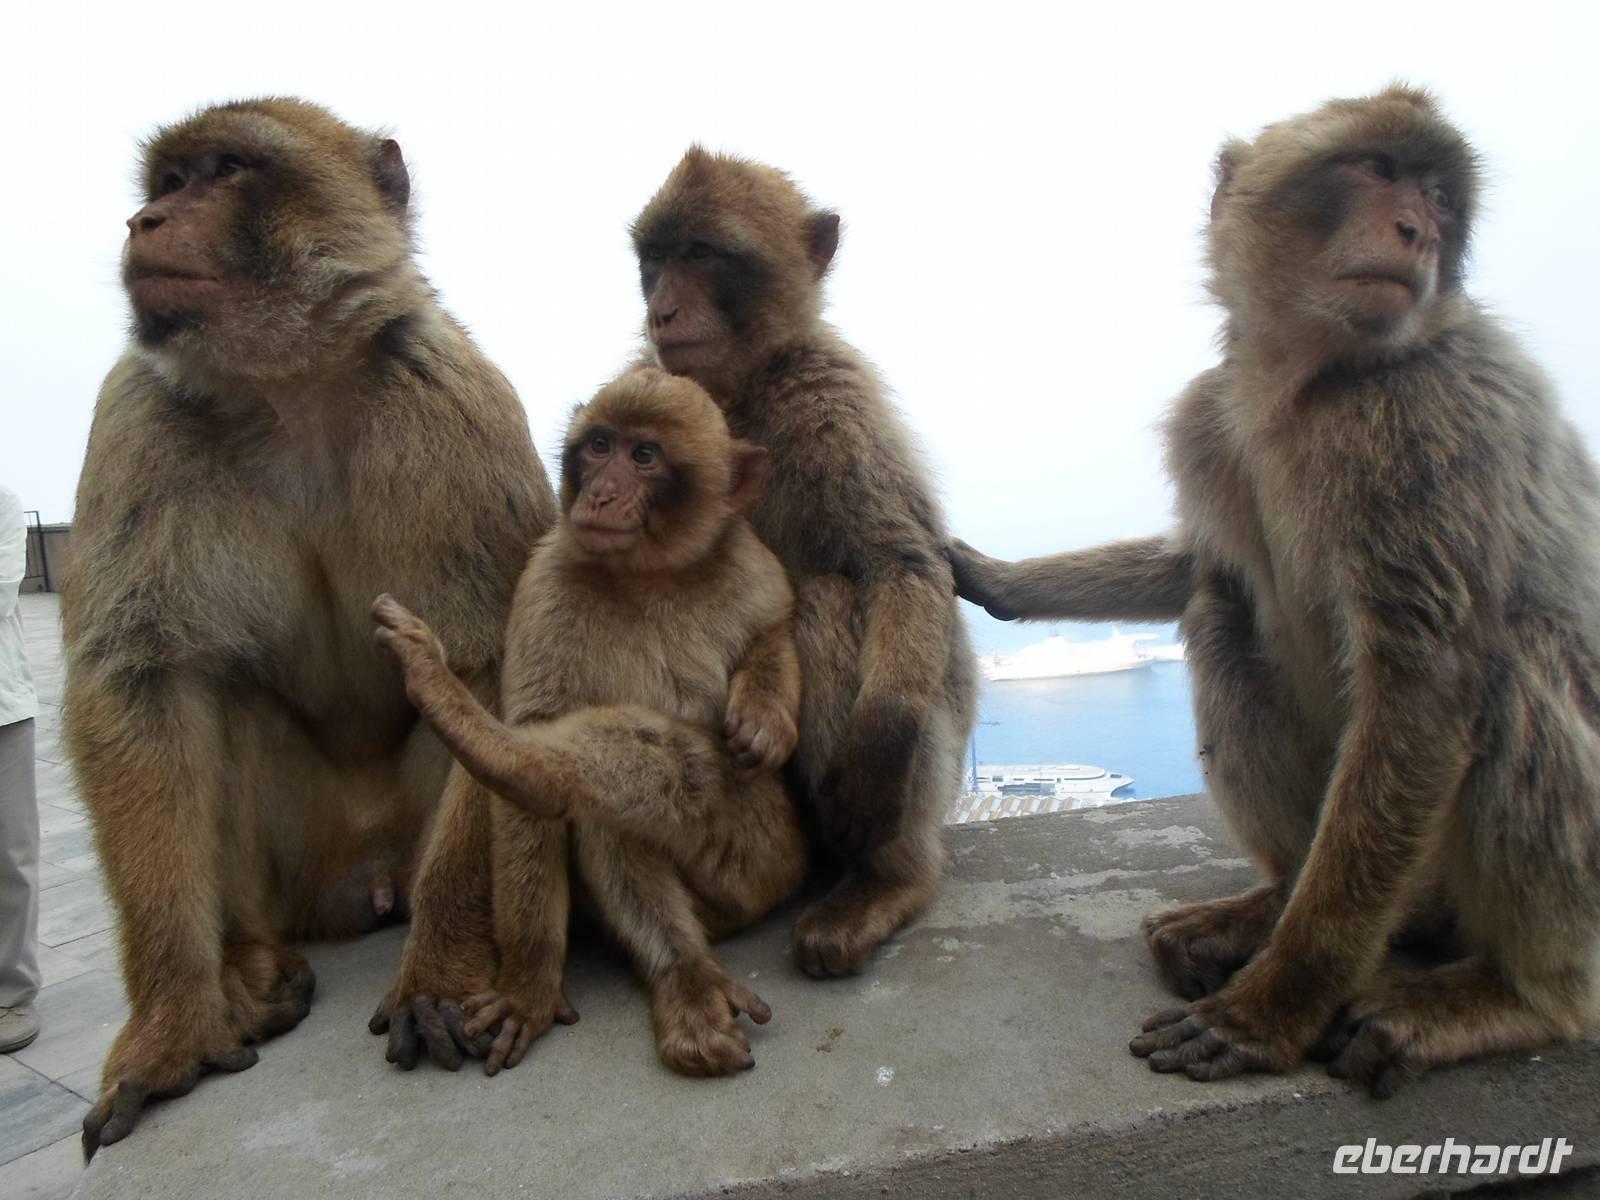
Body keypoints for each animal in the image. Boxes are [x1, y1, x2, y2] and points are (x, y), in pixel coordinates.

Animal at [63, 98, 554, 1153]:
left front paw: (441, 973)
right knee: (219, 702)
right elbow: (141, 682)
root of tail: (359, 879)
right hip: (297, 863)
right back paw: (249, 969)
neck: (288, 387)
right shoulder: (137, 415)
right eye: (167, 183)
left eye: (225, 170)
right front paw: (171, 1022)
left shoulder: (454, 403)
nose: (144, 223)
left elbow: (486, 667)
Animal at [370, 367, 806, 1077]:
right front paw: (529, 981)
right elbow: (537, 739)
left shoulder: (751, 562)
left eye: (644, 455)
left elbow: (773, 629)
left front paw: (766, 718)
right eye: (600, 445)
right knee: (604, 811)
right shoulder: (544, 585)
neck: (652, 574)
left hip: (768, 863)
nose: (600, 494)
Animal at [946, 86, 1600, 1095]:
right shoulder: (1210, 417)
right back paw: (1268, 906)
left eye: (1438, 195)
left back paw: (1522, 997)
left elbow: (1426, 683)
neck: (1303, 385)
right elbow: (1202, 566)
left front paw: (1275, 1008)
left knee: (1513, 666)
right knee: (1223, 616)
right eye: (1375, 169)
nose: (1417, 229)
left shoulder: (1430, 419)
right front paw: (996, 578)